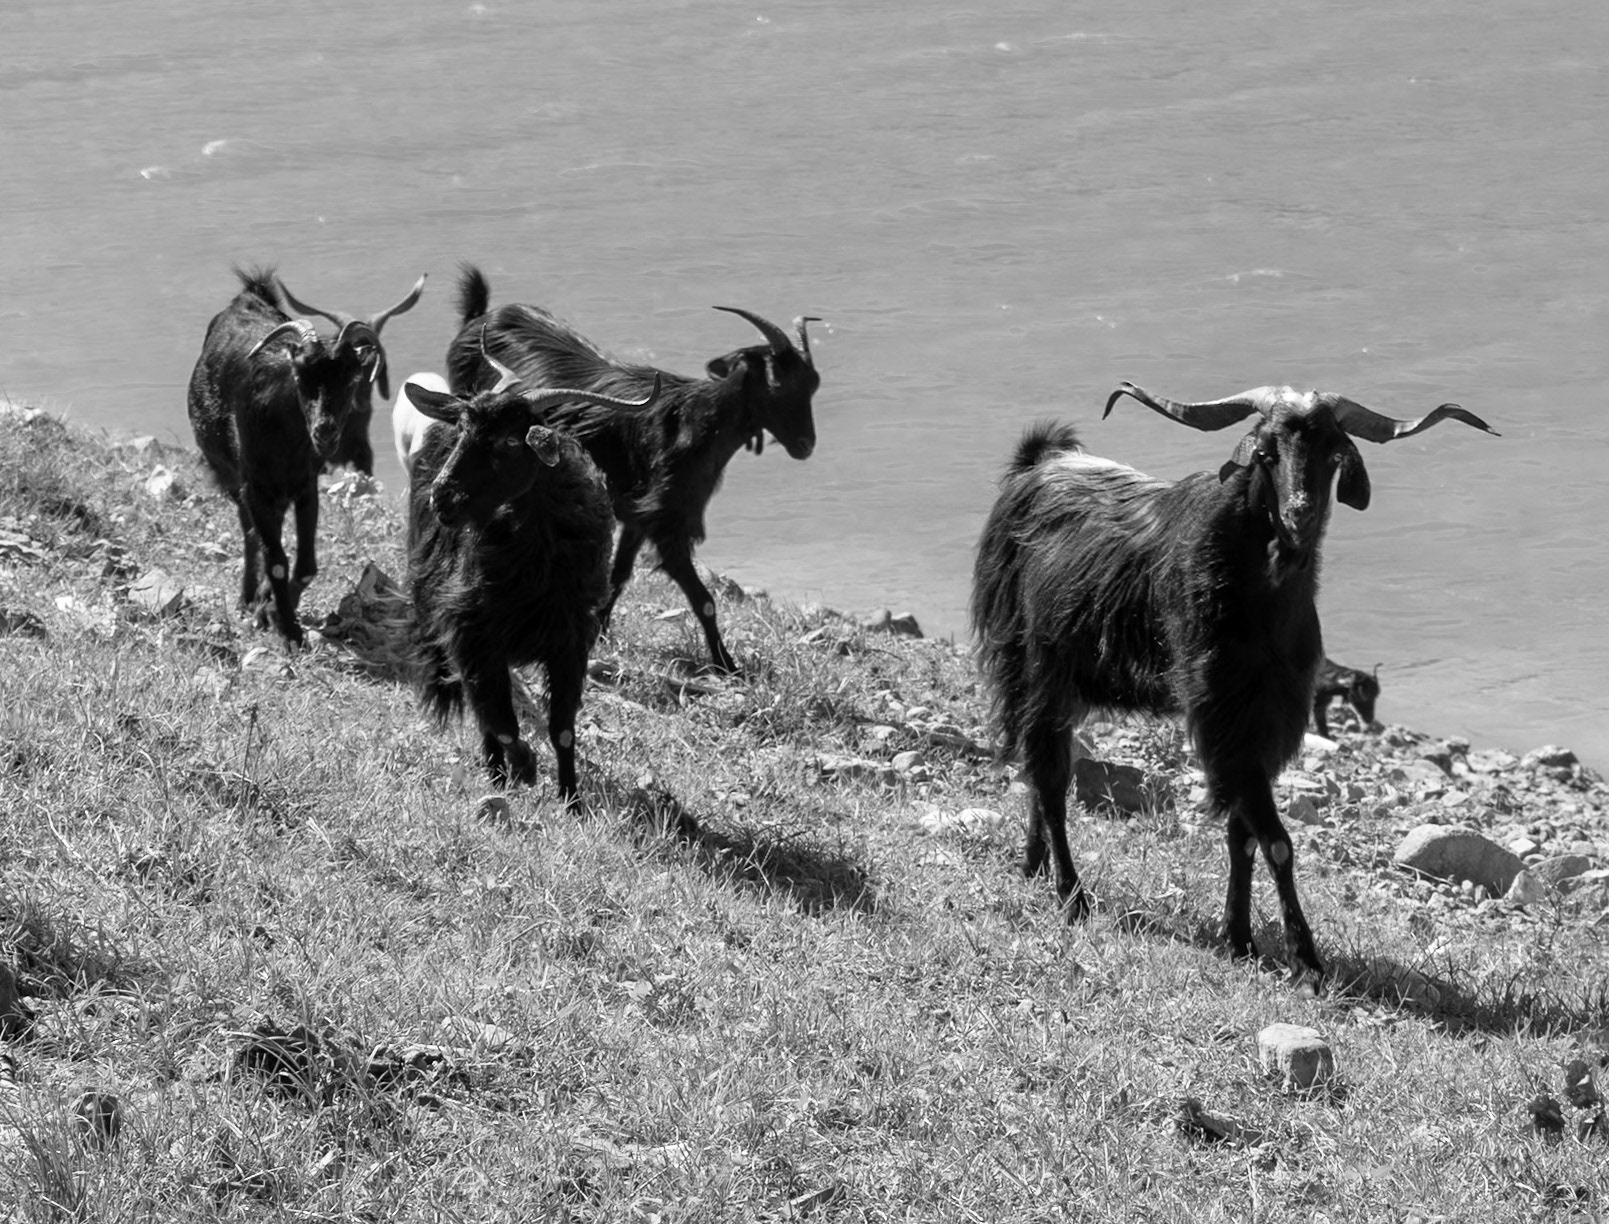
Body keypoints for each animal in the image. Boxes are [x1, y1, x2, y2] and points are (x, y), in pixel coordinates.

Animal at [188, 267, 412, 644]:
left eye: (352, 378)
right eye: (301, 377)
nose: (325, 431)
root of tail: (250, 296)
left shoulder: (306, 487)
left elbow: (306, 565)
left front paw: (275, 611)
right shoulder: (256, 487)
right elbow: (277, 559)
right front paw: (288, 629)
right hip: (233, 478)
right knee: (250, 533)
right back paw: (248, 597)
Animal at [407, 347, 660, 798]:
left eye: (510, 441)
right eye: (463, 431)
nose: (443, 497)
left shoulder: (570, 641)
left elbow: (562, 728)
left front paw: (571, 799)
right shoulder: (473, 633)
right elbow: (500, 719)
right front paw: (524, 766)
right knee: (485, 714)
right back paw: (498, 778)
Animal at [443, 264, 822, 673]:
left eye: (813, 384)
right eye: (777, 383)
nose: (806, 445)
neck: (699, 423)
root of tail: (480, 316)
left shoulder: (637, 516)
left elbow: (619, 576)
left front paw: (601, 634)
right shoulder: (666, 522)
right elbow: (703, 599)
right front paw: (727, 665)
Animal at [971, 382, 1495, 989]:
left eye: (1333, 453)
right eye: (1266, 452)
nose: (1299, 514)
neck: (1262, 592)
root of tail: (1037, 462)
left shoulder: (1264, 721)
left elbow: (1242, 837)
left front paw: (1241, 939)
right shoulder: (1224, 715)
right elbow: (1276, 841)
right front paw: (1305, 961)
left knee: (1039, 765)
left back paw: (1033, 865)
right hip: (1034, 663)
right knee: (1051, 779)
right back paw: (1070, 896)